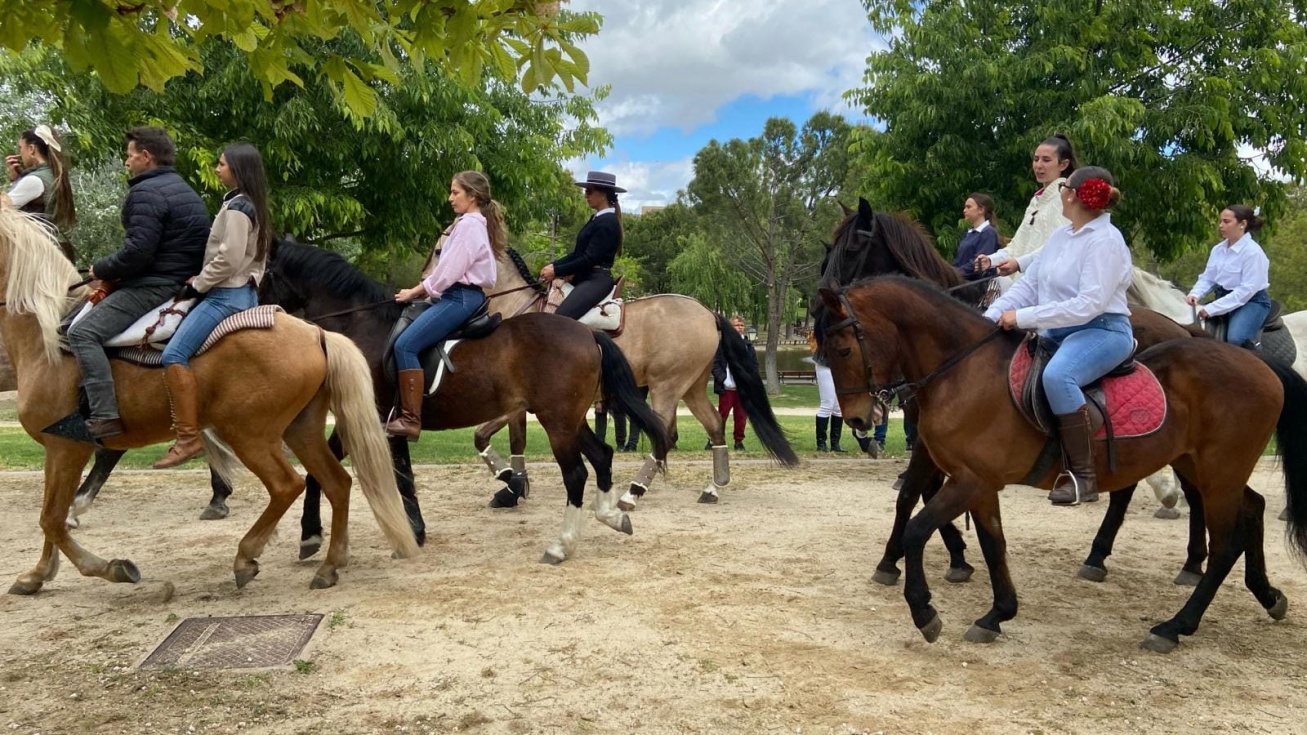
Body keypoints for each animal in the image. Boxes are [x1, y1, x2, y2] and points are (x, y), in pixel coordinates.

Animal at [0, 208, 419, 594]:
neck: (47, 338)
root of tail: (316, 333)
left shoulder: (66, 446)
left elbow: (52, 517)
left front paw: (114, 568)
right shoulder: (59, 449)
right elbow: (51, 515)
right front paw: (38, 573)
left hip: (250, 435)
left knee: (287, 485)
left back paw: (246, 557)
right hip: (301, 431)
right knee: (336, 483)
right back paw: (328, 565)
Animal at [259, 239, 674, 564]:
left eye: (264, 275)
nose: (259, 311)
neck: (363, 326)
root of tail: (587, 334)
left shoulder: (378, 418)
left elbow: (399, 477)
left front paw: (410, 533)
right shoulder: (364, 419)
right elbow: (326, 472)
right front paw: (311, 536)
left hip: (557, 421)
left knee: (576, 474)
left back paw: (561, 545)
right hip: (568, 418)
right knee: (602, 455)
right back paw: (611, 515)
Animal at [414, 245, 797, 509]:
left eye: (439, 249)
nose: (423, 287)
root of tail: (707, 312)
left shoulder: (522, 403)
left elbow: (484, 435)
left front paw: (512, 485)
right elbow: (514, 442)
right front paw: (513, 488)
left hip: (666, 387)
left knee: (665, 433)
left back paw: (634, 492)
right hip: (691, 388)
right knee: (715, 426)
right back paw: (713, 487)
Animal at [818, 276, 1307, 651]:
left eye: (841, 350)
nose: (859, 419)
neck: (963, 371)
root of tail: (1259, 364)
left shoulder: (968, 481)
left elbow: (918, 529)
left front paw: (924, 611)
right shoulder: (978, 484)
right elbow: (993, 544)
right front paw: (997, 614)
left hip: (1219, 474)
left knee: (1226, 543)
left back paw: (1174, 626)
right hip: (1205, 468)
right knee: (1253, 508)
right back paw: (1266, 595)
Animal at [820, 199, 1198, 588]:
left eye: (851, 249)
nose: (822, 303)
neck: (954, 352)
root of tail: (1181, 330)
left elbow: (925, 492)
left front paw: (950, 555)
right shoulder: (932, 440)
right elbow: (914, 492)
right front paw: (908, 558)